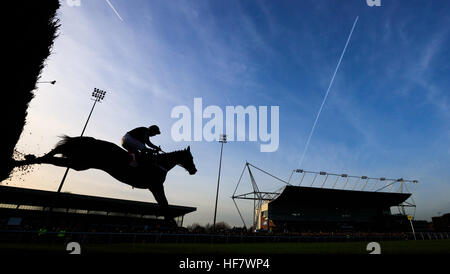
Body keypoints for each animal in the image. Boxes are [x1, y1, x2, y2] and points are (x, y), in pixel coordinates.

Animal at [12, 136, 197, 226]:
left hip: (79, 162)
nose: (194, 170)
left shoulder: (154, 187)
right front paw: (172, 224)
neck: (159, 164)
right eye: (191, 158)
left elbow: (164, 205)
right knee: (52, 158)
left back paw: (25, 159)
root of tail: (92, 141)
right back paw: (20, 161)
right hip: (80, 163)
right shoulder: (156, 185)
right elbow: (165, 205)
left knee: (53, 156)